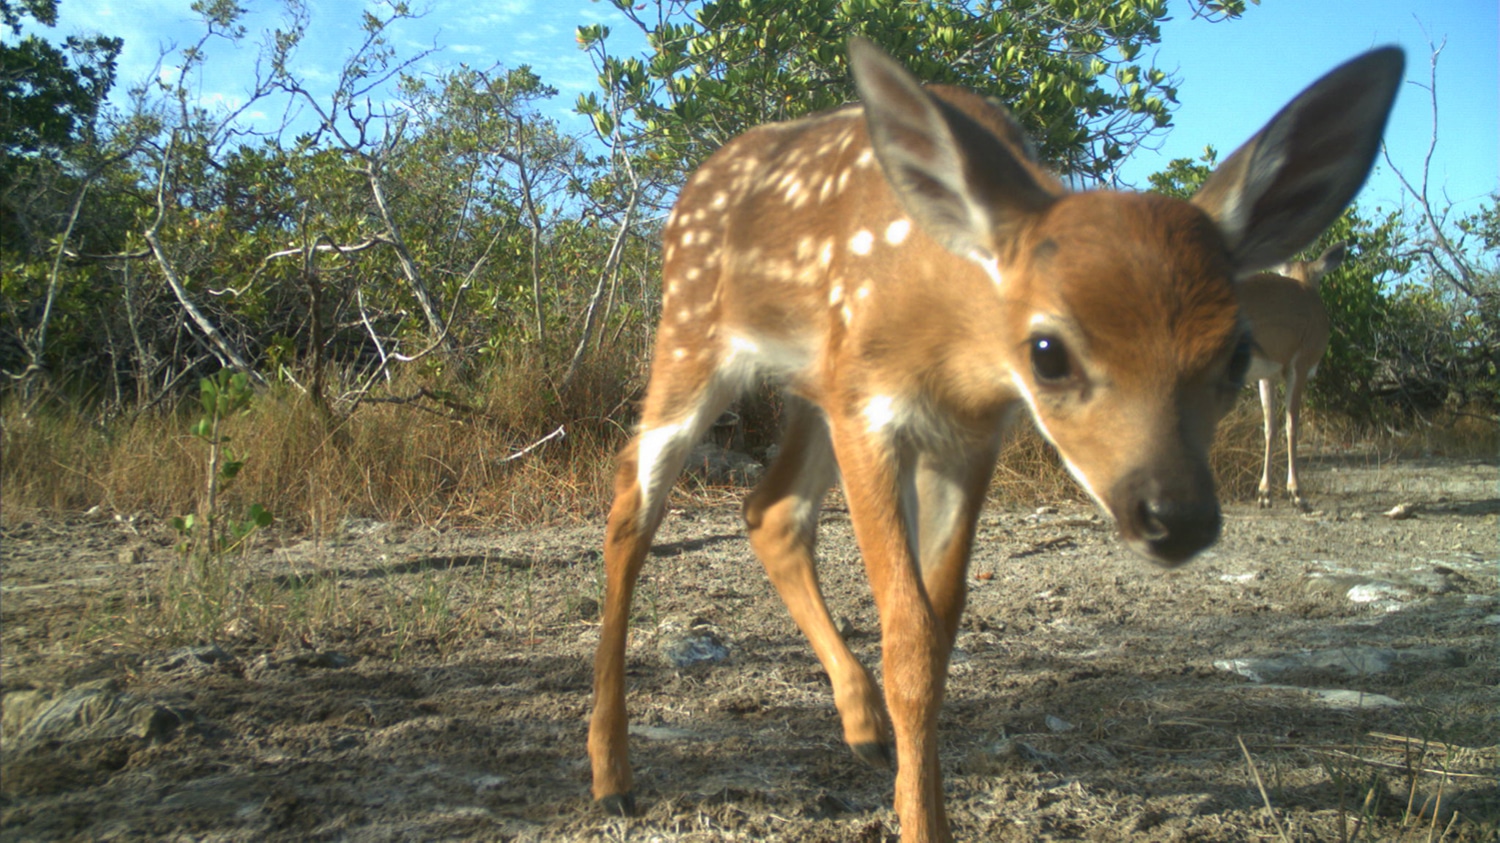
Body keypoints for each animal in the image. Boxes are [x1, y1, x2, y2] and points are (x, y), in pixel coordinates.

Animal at [1242, 240, 1350, 510]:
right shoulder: (1299, 365)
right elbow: (1292, 425)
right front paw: (1296, 493)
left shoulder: (1267, 374)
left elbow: (1270, 427)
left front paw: (1265, 494)